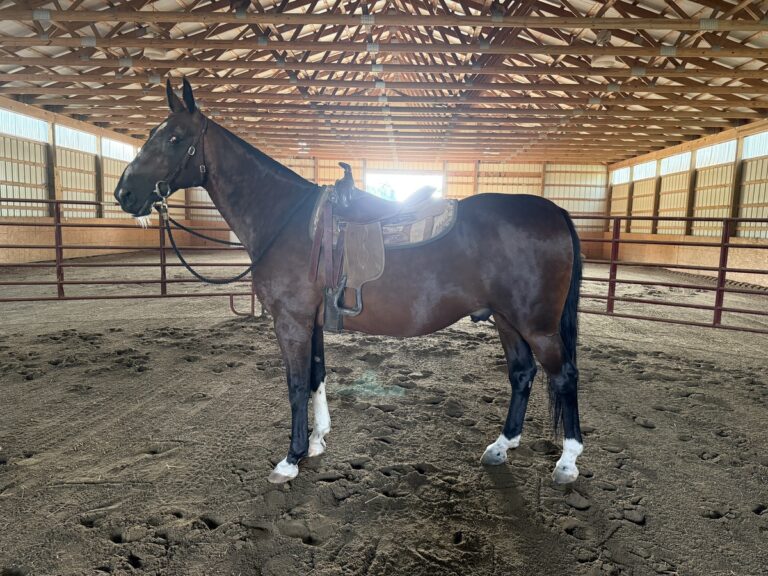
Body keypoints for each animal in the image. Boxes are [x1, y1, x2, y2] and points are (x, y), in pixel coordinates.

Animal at [114, 79, 585, 485]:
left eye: (175, 138)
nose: (124, 193)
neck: (286, 219)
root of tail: (555, 212)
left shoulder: (291, 322)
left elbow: (296, 384)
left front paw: (291, 458)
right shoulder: (313, 321)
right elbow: (317, 375)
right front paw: (317, 441)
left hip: (537, 327)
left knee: (563, 376)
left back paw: (568, 461)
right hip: (507, 320)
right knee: (522, 373)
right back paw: (502, 445)